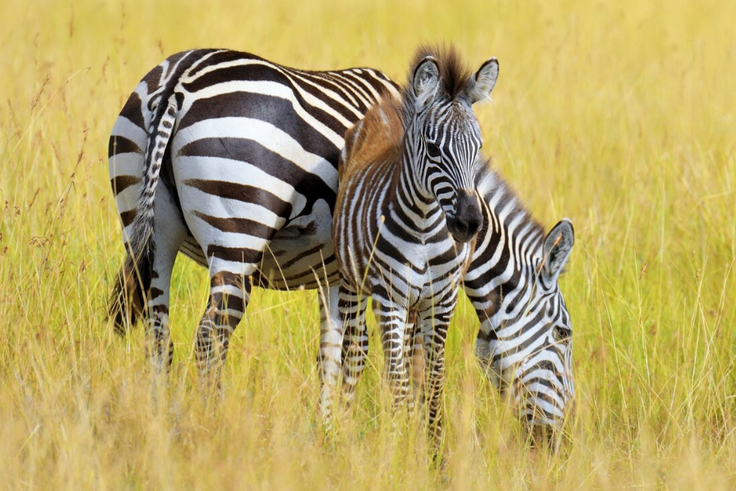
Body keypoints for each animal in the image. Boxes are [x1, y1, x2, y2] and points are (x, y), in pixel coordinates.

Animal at [107, 49, 398, 382]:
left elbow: (331, 352)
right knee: (211, 337)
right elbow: (364, 349)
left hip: (150, 232)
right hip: (236, 233)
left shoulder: (335, 273)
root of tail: (178, 81)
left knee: (158, 337)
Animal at [332, 46, 500, 445]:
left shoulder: (442, 299)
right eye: (434, 148)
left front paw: (434, 448)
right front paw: (399, 445)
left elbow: (432, 378)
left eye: (479, 147)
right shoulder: (389, 296)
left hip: (415, 304)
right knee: (354, 353)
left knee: (412, 362)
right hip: (353, 284)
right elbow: (397, 380)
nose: (470, 223)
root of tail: (387, 104)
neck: (424, 225)